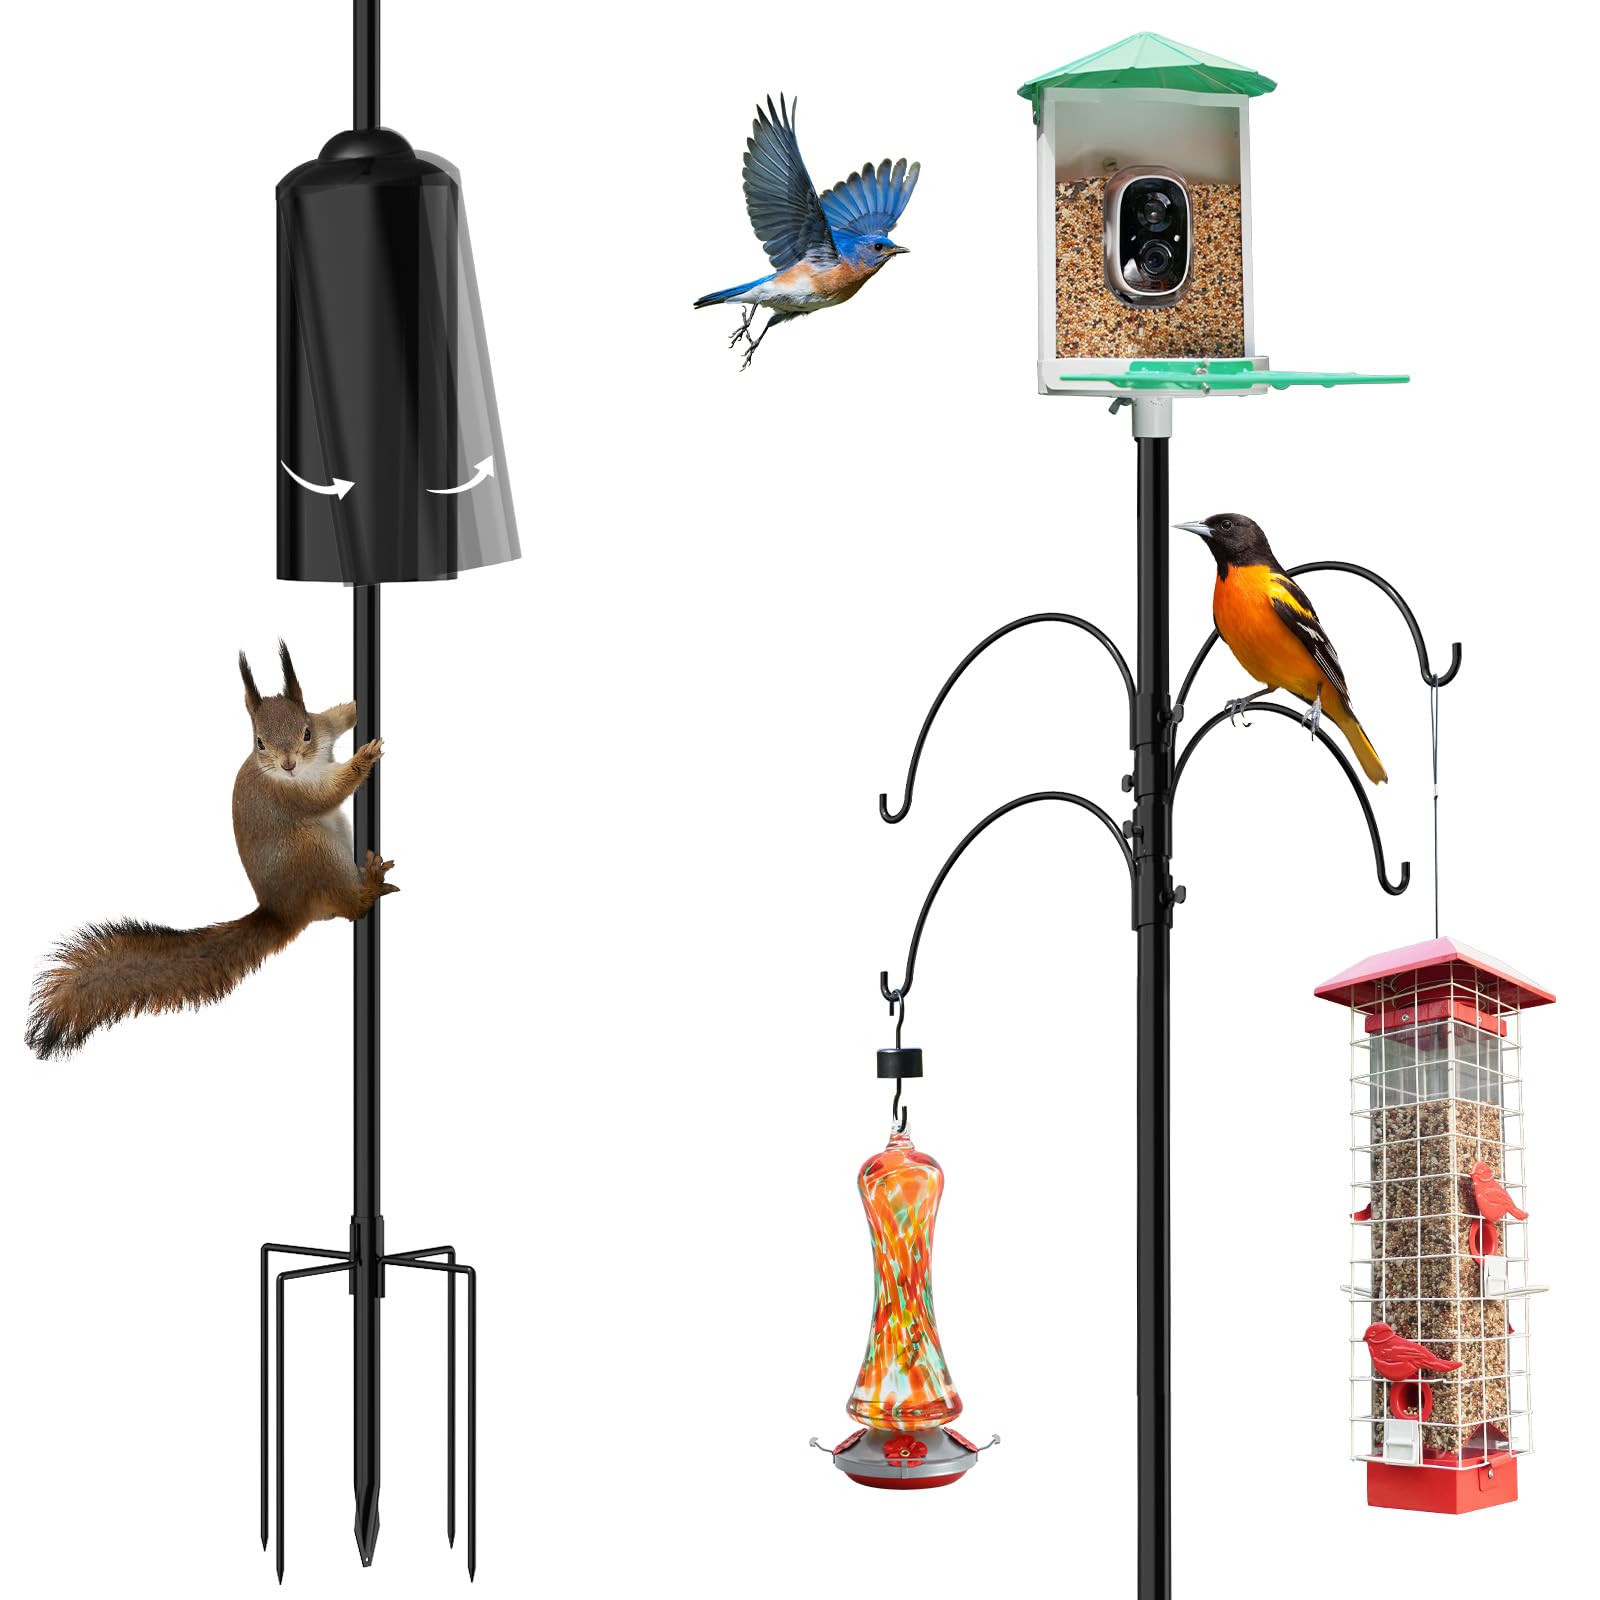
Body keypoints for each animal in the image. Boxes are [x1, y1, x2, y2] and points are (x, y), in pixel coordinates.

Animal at [25, 642, 395, 1060]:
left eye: (306, 731)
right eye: (260, 742)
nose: (288, 765)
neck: (302, 768)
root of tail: (280, 911)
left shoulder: (324, 729)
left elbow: (336, 717)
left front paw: (354, 710)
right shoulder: (290, 795)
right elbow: (328, 793)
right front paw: (364, 758)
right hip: (313, 853)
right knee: (350, 909)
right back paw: (369, 887)